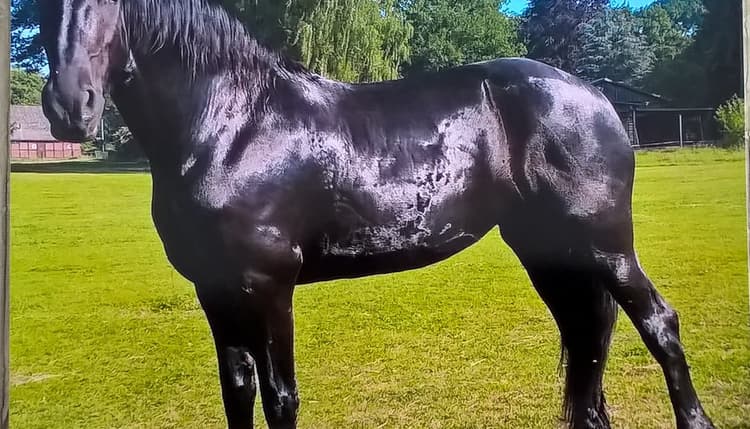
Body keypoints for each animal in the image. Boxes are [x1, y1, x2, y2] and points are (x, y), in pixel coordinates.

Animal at [38, 1, 715, 428]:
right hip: (550, 253)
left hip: (606, 245)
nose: (71, 107)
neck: (232, 123)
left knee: (658, 324)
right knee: (586, 340)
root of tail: (592, 94)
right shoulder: (215, 289)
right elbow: (239, 393)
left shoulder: (268, 286)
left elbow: (281, 397)